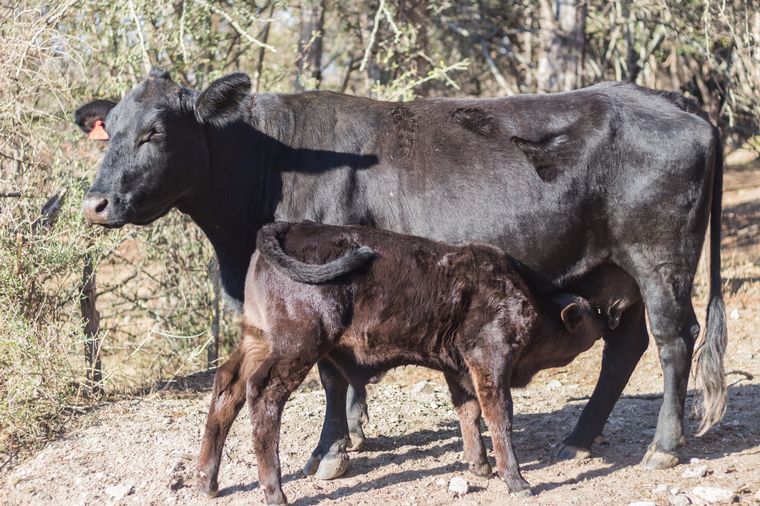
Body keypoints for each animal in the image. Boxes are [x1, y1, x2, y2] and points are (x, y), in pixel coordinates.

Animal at [197, 223, 604, 504]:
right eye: (591, 313)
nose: (610, 315)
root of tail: (290, 226)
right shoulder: (489, 361)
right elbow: (498, 415)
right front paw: (516, 480)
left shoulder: (458, 368)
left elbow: (468, 412)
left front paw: (480, 466)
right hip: (297, 345)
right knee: (263, 394)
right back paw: (274, 492)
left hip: (258, 340)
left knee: (227, 385)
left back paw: (207, 481)